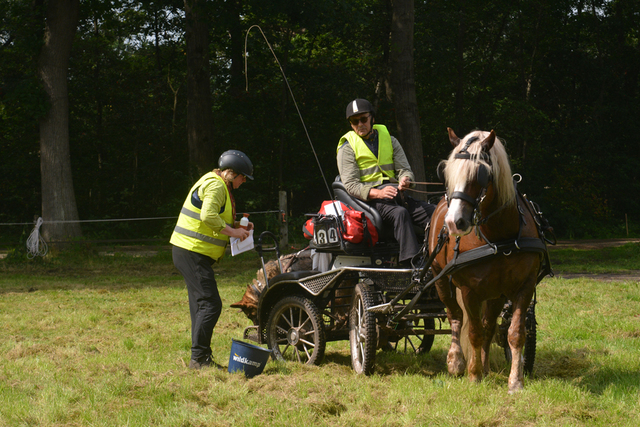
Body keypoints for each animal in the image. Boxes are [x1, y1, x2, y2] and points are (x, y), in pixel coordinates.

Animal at [430, 128, 544, 394]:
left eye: (480, 175)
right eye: (448, 173)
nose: (453, 223)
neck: (500, 236)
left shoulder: (524, 286)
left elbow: (515, 333)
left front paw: (515, 381)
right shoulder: (469, 290)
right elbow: (473, 332)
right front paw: (473, 375)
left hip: (496, 293)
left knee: (489, 326)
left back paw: (486, 367)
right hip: (441, 279)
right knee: (455, 316)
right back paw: (457, 362)